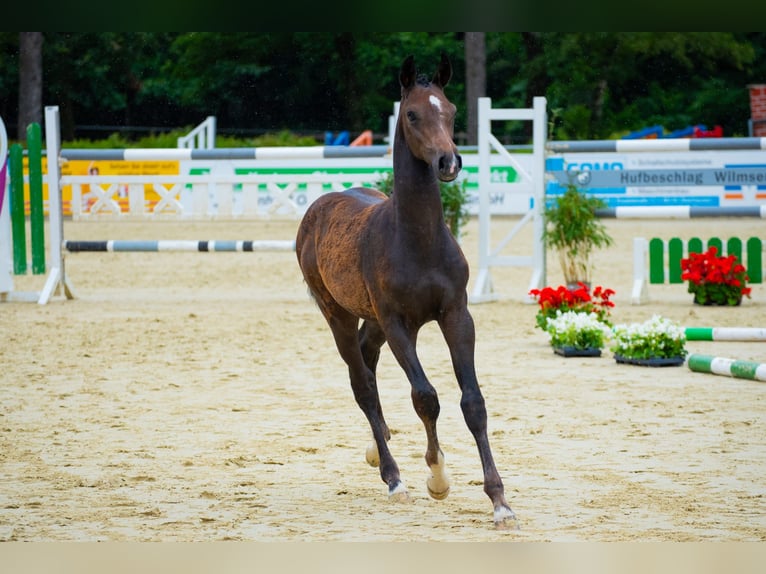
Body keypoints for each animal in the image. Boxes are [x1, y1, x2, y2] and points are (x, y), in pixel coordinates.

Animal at [296, 55, 520, 532]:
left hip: (374, 320)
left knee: (368, 360)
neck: (417, 240)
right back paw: (393, 476)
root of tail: (319, 207)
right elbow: (426, 397)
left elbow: (473, 402)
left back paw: (376, 443)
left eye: (451, 111)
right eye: (413, 114)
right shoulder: (399, 324)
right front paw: (437, 475)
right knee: (361, 380)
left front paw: (500, 503)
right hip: (338, 313)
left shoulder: (456, 314)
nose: (449, 162)